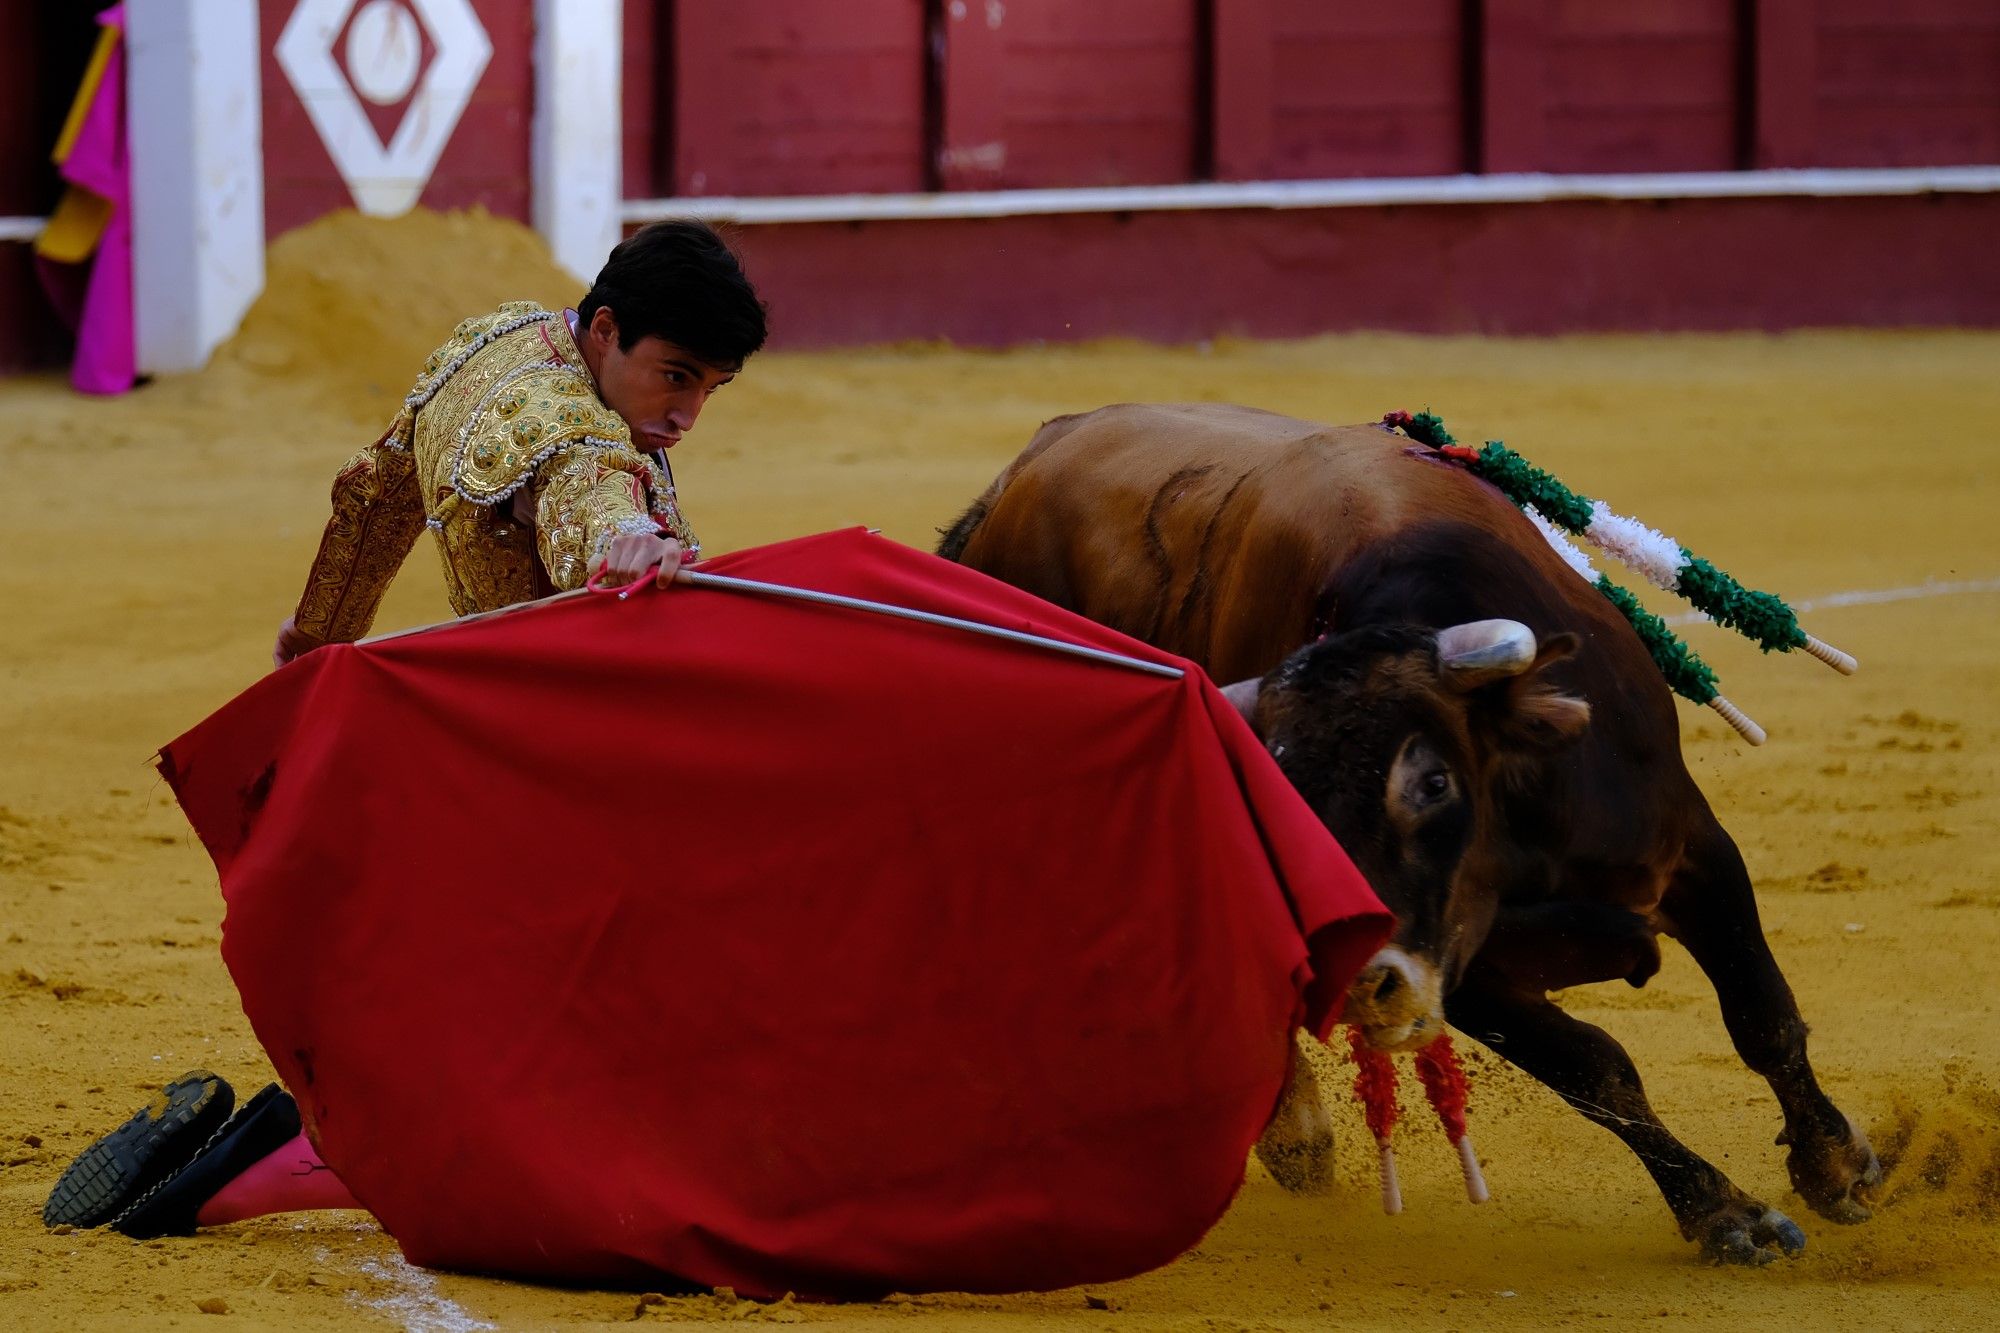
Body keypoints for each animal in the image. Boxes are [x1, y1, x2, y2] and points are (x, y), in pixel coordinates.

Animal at [944, 400, 1880, 1264]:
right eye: (1295, 818)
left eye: (1432, 783)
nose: (1359, 981)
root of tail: (1013, 480)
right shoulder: (1464, 971)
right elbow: (1596, 1066)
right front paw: (1724, 1212)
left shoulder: (1692, 847)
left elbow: (1761, 1013)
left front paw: (1835, 1167)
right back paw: (1295, 1135)